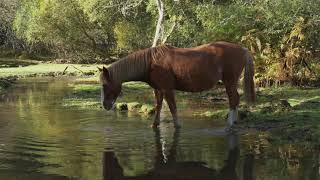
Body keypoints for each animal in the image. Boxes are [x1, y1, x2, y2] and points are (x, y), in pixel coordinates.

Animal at [99, 41, 256, 129]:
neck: (150, 63)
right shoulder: (159, 89)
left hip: (229, 82)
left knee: (233, 99)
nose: (105, 105)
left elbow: (172, 107)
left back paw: (229, 123)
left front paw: (177, 126)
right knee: (235, 99)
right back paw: (234, 122)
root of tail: (243, 49)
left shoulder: (167, 89)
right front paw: (155, 124)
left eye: (105, 85)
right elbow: (158, 106)